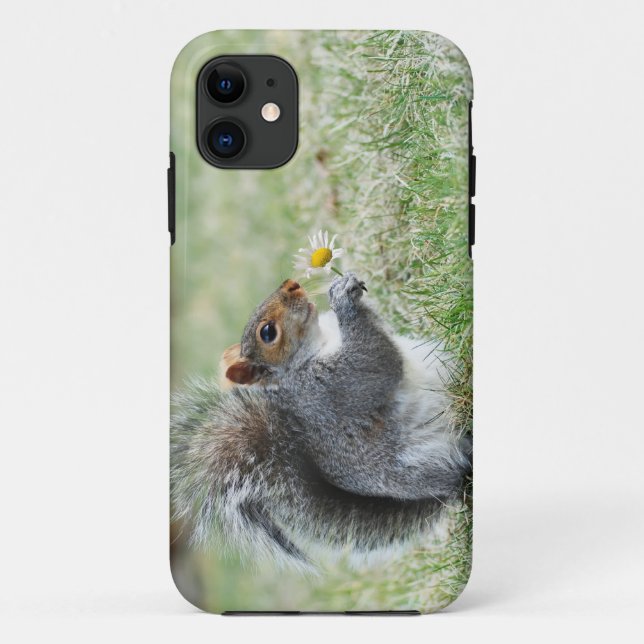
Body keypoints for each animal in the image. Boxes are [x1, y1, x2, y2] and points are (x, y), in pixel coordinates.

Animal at [171, 273, 471, 567]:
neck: (319, 342)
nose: (291, 285)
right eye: (268, 333)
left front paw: (341, 286)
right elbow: (375, 362)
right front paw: (342, 300)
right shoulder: (328, 388)